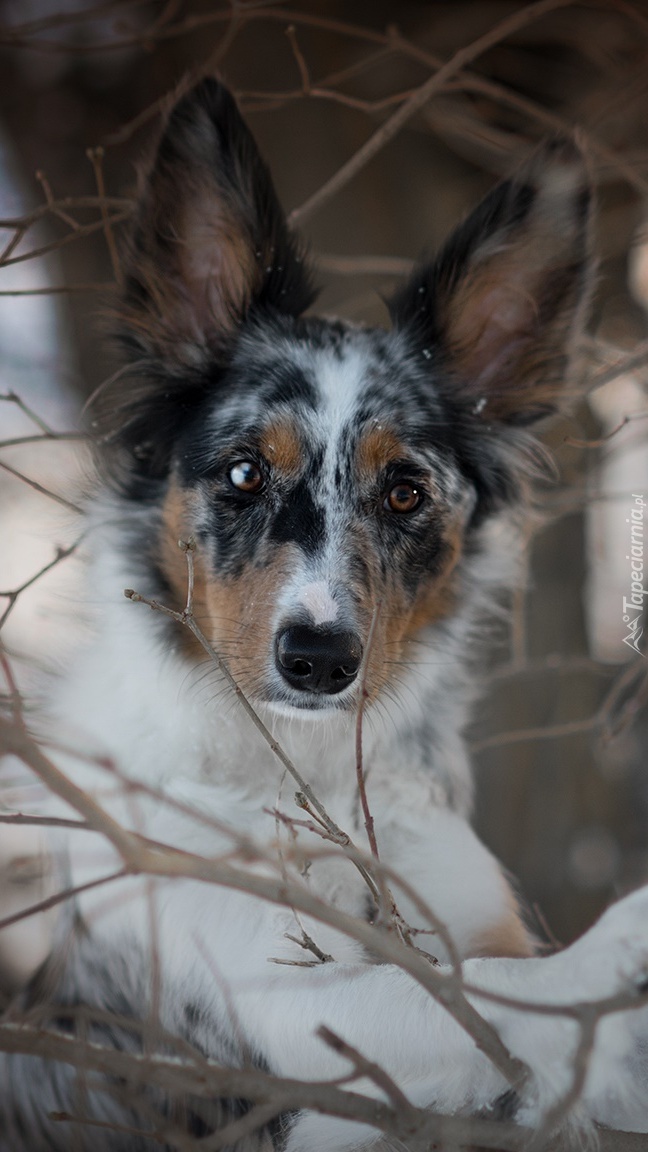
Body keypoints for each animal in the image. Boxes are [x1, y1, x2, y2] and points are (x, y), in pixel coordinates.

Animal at [1, 76, 645, 1147]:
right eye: (243, 472)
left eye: (406, 492)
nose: (316, 658)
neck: (308, 775)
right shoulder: (276, 1008)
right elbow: (479, 995)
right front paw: (615, 957)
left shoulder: (464, 907)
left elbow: (487, 981)